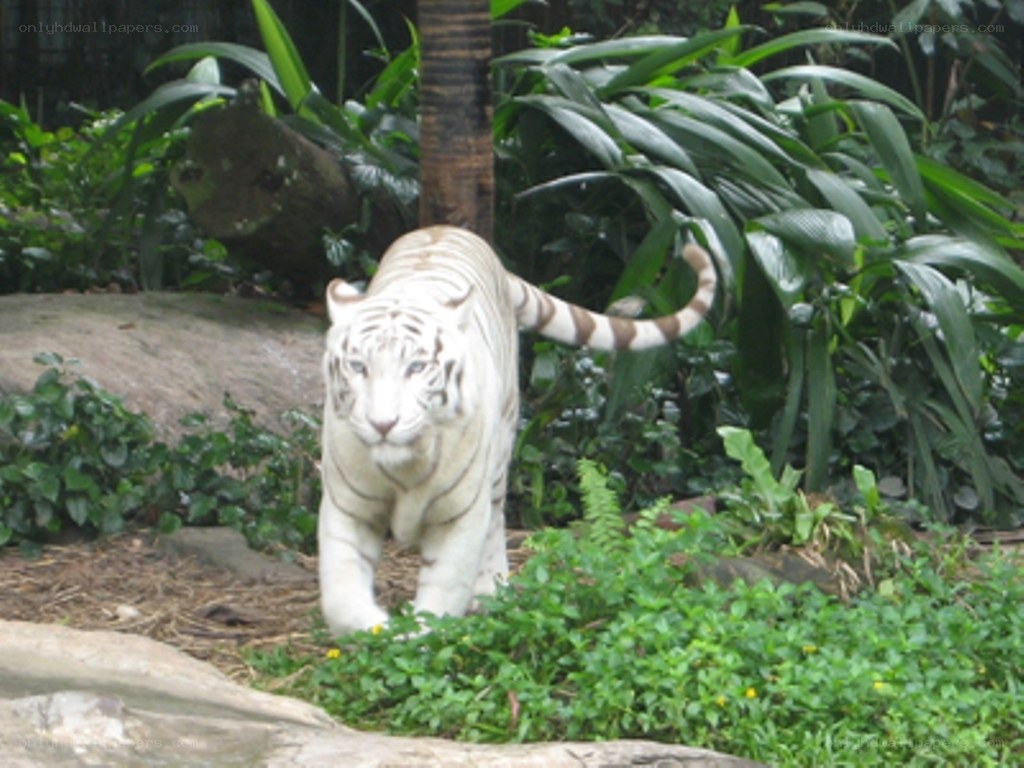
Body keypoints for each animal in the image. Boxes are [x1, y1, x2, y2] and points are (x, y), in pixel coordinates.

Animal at [318, 224, 716, 636]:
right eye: (358, 367)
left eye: (416, 367)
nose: (383, 424)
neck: (405, 466)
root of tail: (450, 230)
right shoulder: (348, 505)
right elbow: (340, 593)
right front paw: (374, 627)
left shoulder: (459, 512)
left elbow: (444, 589)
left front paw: (423, 633)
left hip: (499, 452)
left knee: (495, 522)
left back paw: (489, 593)